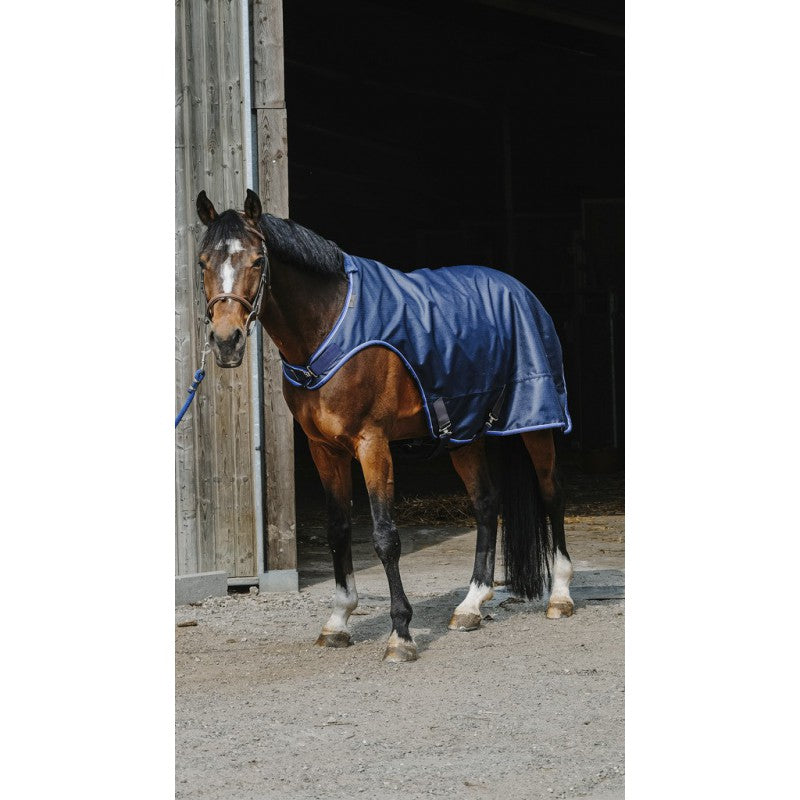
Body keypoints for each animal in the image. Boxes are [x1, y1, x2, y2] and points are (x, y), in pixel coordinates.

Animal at [194, 189, 575, 662]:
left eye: (258, 261)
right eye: (203, 262)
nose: (226, 342)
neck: (329, 324)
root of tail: (521, 291)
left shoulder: (371, 443)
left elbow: (384, 536)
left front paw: (401, 634)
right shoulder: (324, 449)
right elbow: (338, 530)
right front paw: (338, 621)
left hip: (536, 422)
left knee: (552, 494)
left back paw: (560, 596)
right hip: (464, 434)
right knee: (487, 504)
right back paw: (470, 605)